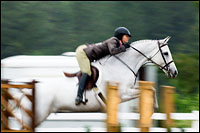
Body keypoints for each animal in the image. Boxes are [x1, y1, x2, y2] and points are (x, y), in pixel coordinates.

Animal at [9, 35, 178, 128]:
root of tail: (26, 89)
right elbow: (147, 91)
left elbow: (151, 90)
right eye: (165, 53)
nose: (174, 72)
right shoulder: (123, 94)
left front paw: (153, 109)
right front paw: (153, 108)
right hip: (36, 114)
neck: (122, 65)